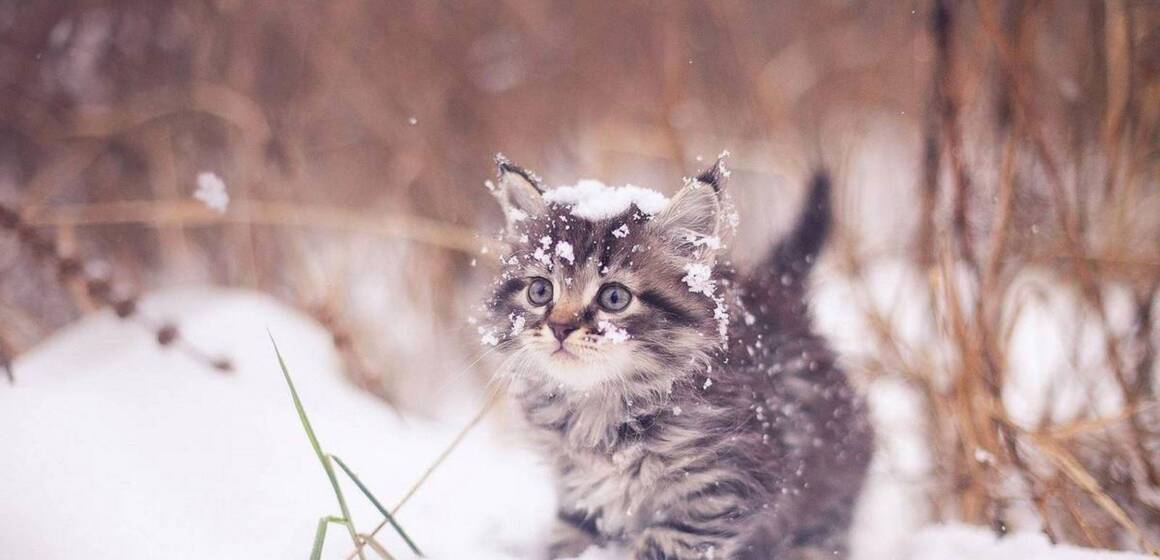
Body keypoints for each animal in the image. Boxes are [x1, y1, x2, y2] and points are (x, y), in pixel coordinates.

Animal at [480, 154, 872, 560]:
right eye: (540, 291)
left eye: (614, 298)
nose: (559, 327)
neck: (600, 407)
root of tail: (776, 294)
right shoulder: (582, 500)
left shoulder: (718, 492)